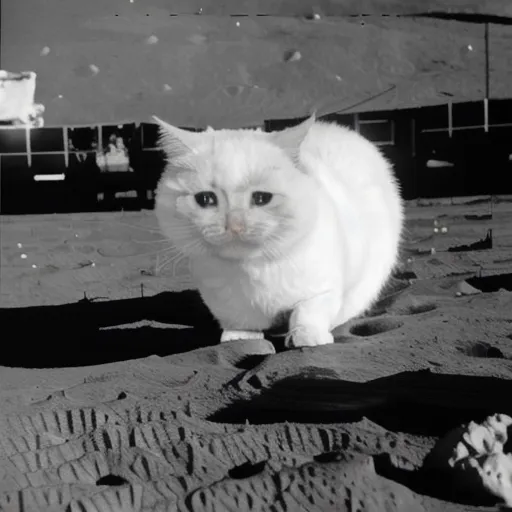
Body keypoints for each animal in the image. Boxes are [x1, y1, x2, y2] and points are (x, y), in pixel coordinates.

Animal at [153, 115, 404, 348]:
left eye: (262, 198)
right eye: (205, 199)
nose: (235, 224)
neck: (253, 268)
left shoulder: (323, 290)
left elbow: (306, 312)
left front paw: (307, 337)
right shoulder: (221, 298)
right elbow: (241, 320)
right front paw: (240, 337)